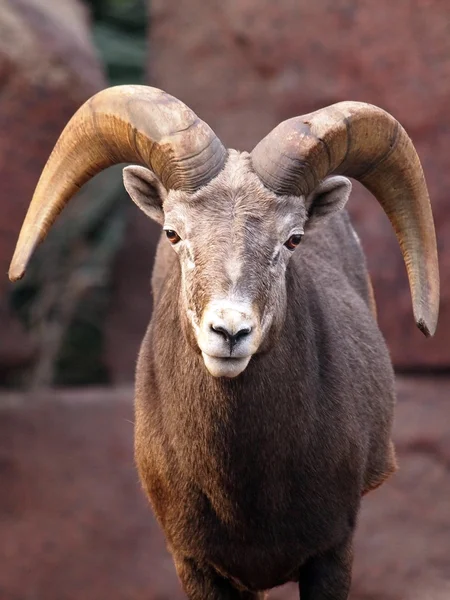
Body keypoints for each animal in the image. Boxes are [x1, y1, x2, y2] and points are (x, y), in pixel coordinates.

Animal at [9, 85, 440, 600]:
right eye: (173, 232)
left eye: (293, 239)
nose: (230, 332)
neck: (242, 490)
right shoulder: (197, 563)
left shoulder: (333, 553)